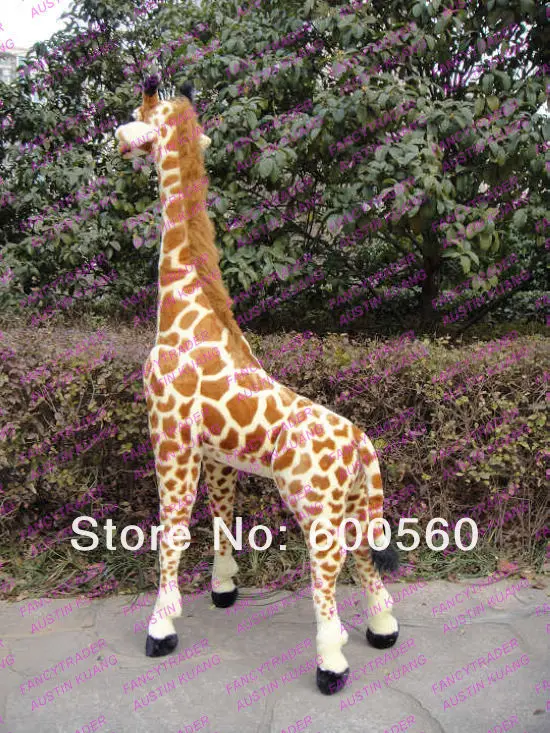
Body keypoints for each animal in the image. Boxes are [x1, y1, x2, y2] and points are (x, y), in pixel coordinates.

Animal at [114, 75, 400, 695]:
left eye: (140, 115)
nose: (116, 141)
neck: (185, 309)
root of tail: (363, 445)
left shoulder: (170, 436)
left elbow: (171, 532)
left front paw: (161, 627)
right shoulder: (215, 452)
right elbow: (221, 514)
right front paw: (224, 587)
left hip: (316, 509)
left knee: (328, 579)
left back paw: (331, 665)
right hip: (355, 503)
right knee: (368, 561)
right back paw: (383, 630)